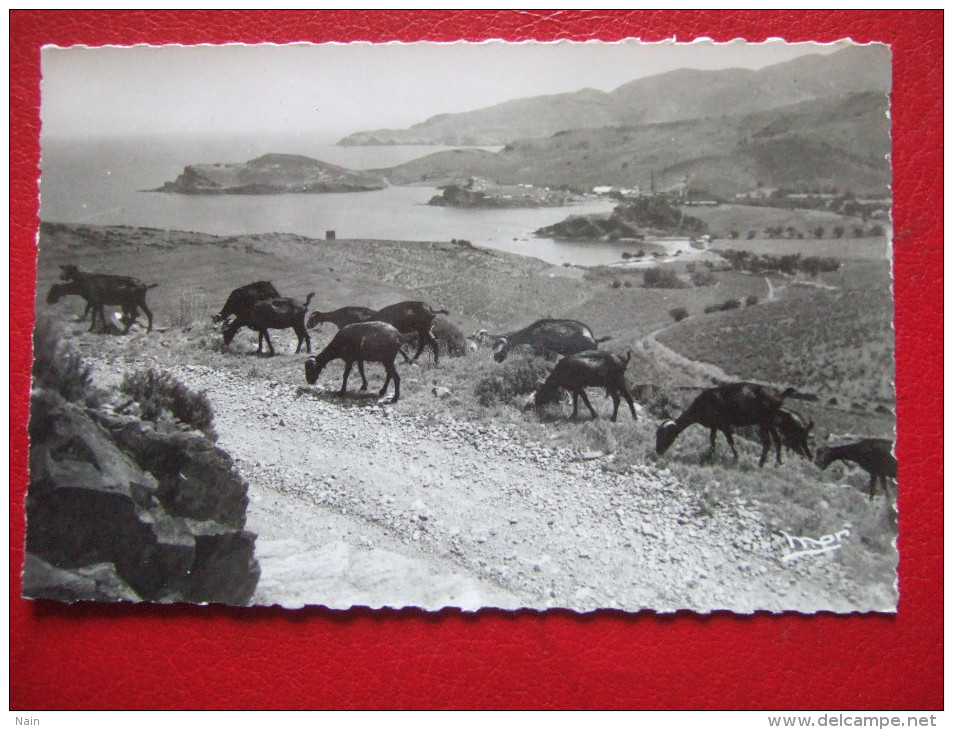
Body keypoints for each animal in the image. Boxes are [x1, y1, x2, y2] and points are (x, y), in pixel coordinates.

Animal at [656, 382, 796, 466]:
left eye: (665, 435)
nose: (658, 451)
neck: (704, 404)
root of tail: (779, 395)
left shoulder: (724, 424)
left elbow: (730, 441)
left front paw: (736, 458)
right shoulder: (714, 425)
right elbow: (712, 440)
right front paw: (708, 458)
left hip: (764, 422)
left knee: (767, 442)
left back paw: (761, 464)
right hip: (770, 422)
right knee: (777, 441)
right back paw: (777, 463)